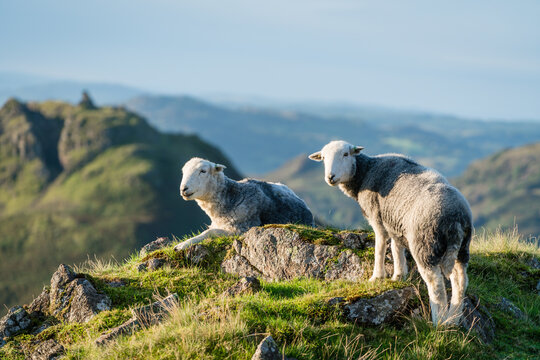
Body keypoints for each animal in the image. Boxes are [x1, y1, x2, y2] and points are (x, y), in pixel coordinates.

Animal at [174, 156, 316, 252]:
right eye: (183, 172)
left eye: (203, 171)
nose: (183, 189)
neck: (231, 196)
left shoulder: (242, 228)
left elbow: (209, 232)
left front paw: (181, 245)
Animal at [308, 139, 472, 324]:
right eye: (323, 158)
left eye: (345, 154)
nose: (330, 177)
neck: (366, 172)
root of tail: (455, 218)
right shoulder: (394, 221)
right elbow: (396, 247)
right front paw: (399, 275)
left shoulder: (377, 217)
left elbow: (380, 246)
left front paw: (377, 277)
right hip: (462, 247)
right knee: (460, 280)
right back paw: (453, 318)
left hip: (425, 243)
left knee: (435, 283)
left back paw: (439, 321)